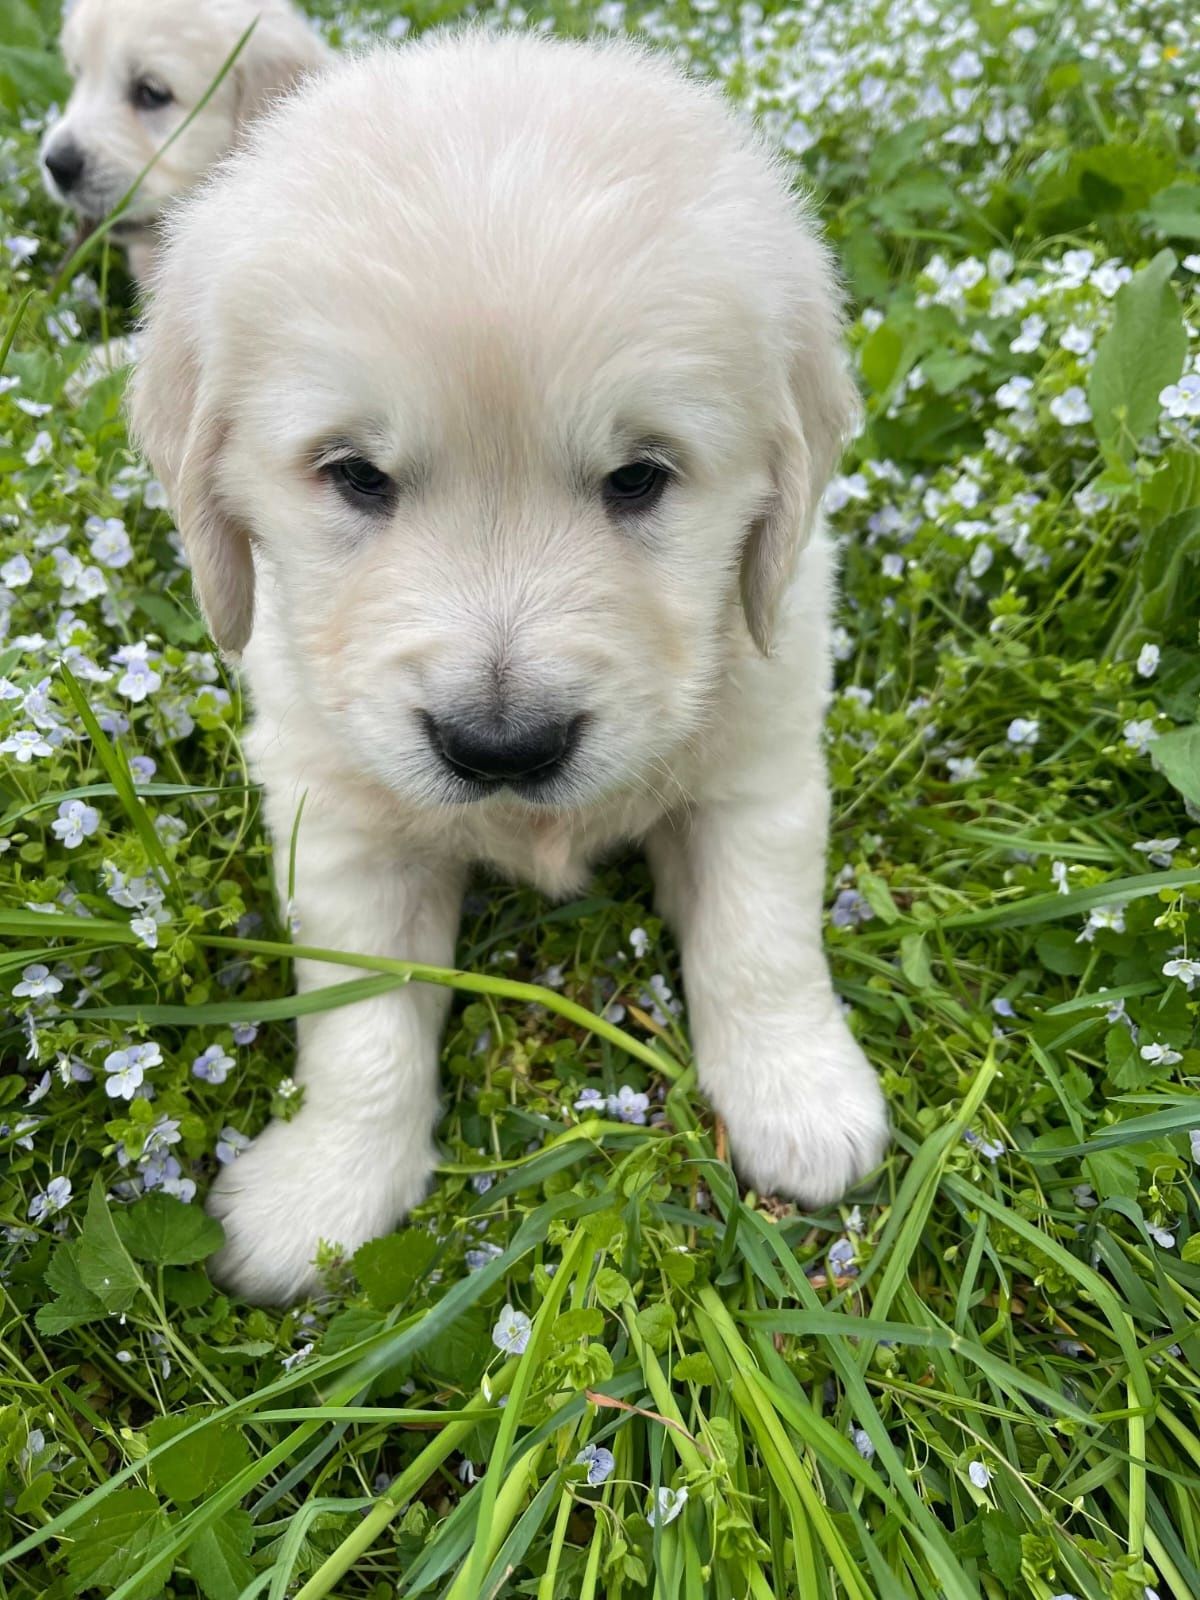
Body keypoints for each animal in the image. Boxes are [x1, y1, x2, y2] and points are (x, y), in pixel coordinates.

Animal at [131, 31, 896, 1305]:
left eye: (639, 478)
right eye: (356, 475)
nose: (500, 746)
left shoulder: (762, 751)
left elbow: (759, 939)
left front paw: (801, 1099)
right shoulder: (337, 812)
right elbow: (362, 1017)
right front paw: (325, 1192)